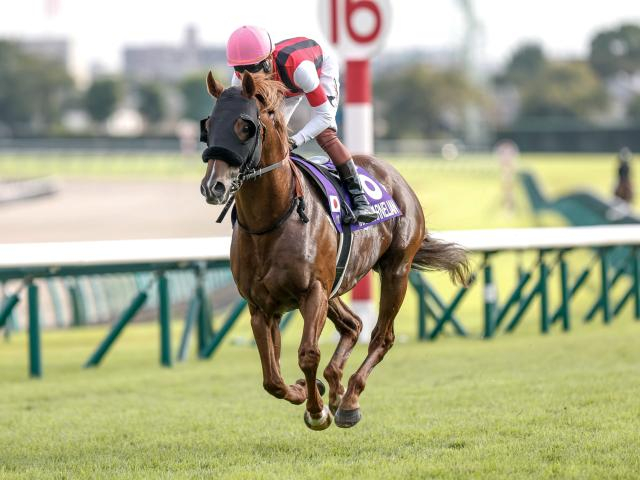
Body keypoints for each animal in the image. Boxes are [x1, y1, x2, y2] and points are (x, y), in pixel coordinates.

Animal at [200, 71, 470, 430]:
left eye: (245, 126)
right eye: (209, 124)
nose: (213, 186)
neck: (270, 221)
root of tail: (393, 175)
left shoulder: (313, 291)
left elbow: (307, 354)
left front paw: (317, 411)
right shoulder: (260, 306)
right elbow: (272, 377)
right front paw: (304, 390)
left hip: (395, 270)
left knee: (382, 336)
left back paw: (349, 400)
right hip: (336, 286)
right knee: (353, 325)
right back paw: (336, 385)